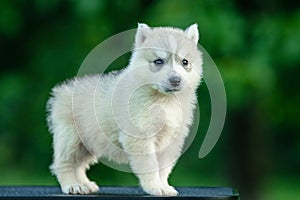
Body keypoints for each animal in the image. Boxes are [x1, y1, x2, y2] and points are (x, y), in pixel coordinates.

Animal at [47, 23, 203, 195]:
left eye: (185, 62)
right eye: (158, 61)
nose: (175, 80)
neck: (164, 100)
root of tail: (61, 91)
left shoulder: (171, 139)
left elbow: (163, 168)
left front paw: (164, 186)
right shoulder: (140, 136)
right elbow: (150, 165)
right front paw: (155, 187)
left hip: (89, 143)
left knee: (79, 165)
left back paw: (85, 185)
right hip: (71, 138)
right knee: (65, 163)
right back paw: (72, 185)